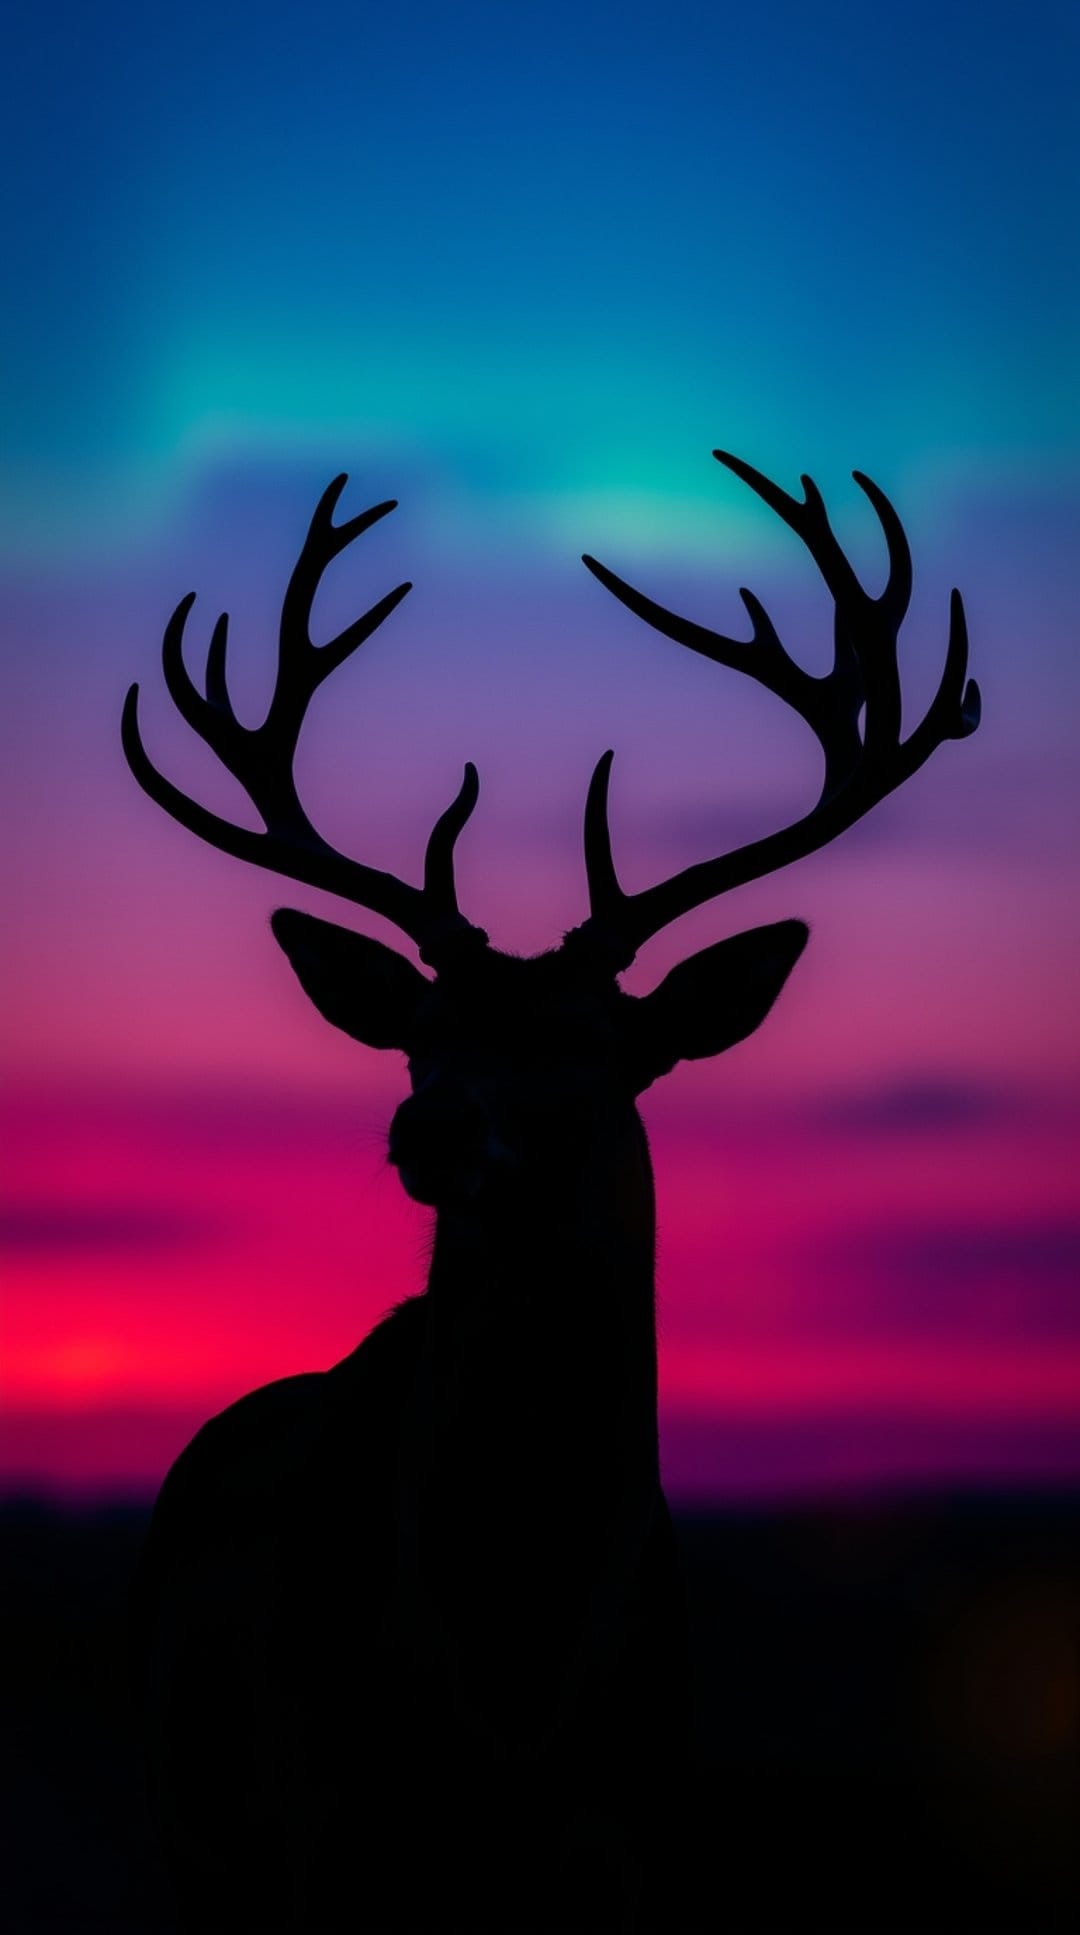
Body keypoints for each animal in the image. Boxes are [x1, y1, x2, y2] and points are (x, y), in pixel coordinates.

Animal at [124, 451, 979, 1932]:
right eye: (421, 1036)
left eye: (591, 1043)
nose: (428, 1125)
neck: (513, 1691)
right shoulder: (327, 1833)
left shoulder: (642, 1833)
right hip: (193, 1854)